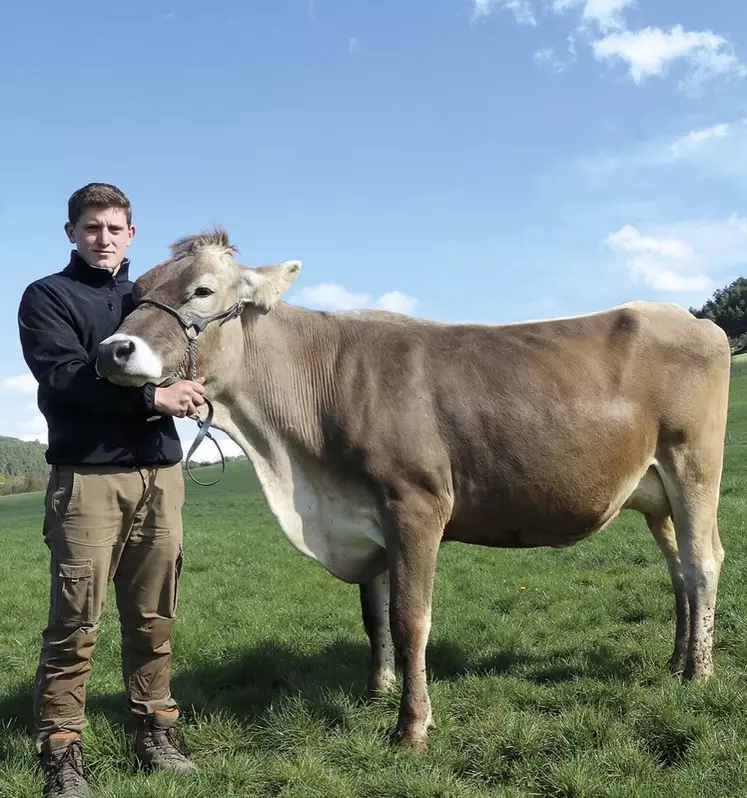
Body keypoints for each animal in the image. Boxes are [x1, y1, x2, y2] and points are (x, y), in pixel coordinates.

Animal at [96, 228, 732, 752]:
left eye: (202, 290)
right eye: (136, 292)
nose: (112, 350)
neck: (295, 464)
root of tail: (690, 317)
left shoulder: (417, 504)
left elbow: (410, 620)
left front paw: (411, 727)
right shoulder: (364, 516)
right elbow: (373, 616)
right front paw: (377, 690)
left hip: (693, 465)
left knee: (704, 561)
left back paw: (699, 672)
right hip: (654, 493)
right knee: (678, 568)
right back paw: (676, 660)